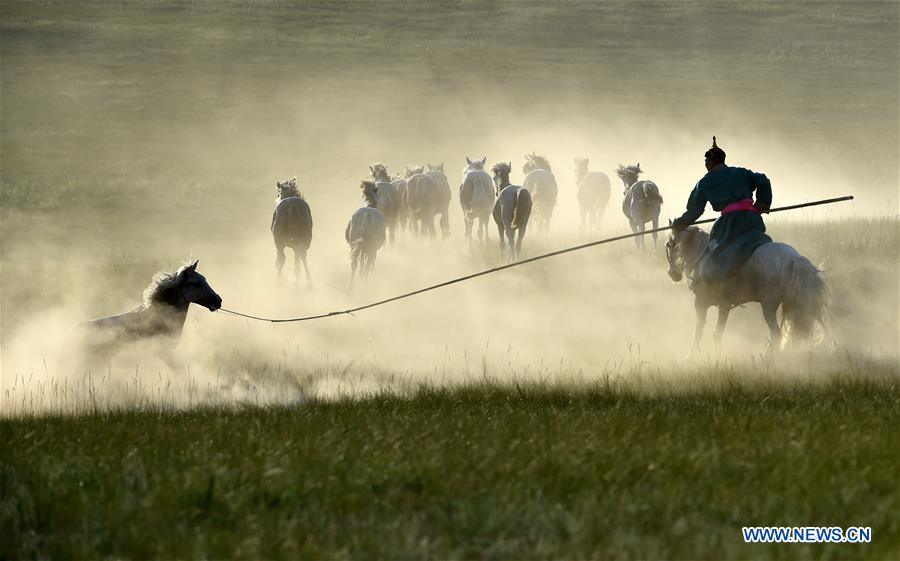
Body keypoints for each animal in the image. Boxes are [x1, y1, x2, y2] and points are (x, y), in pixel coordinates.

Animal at [668, 223, 828, 354]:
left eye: (669, 243)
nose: (672, 274)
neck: (702, 255)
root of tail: (795, 259)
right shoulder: (724, 306)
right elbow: (717, 333)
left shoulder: (701, 303)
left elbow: (698, 331)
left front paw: (691, 356)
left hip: (769, 305)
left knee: (776, 335)